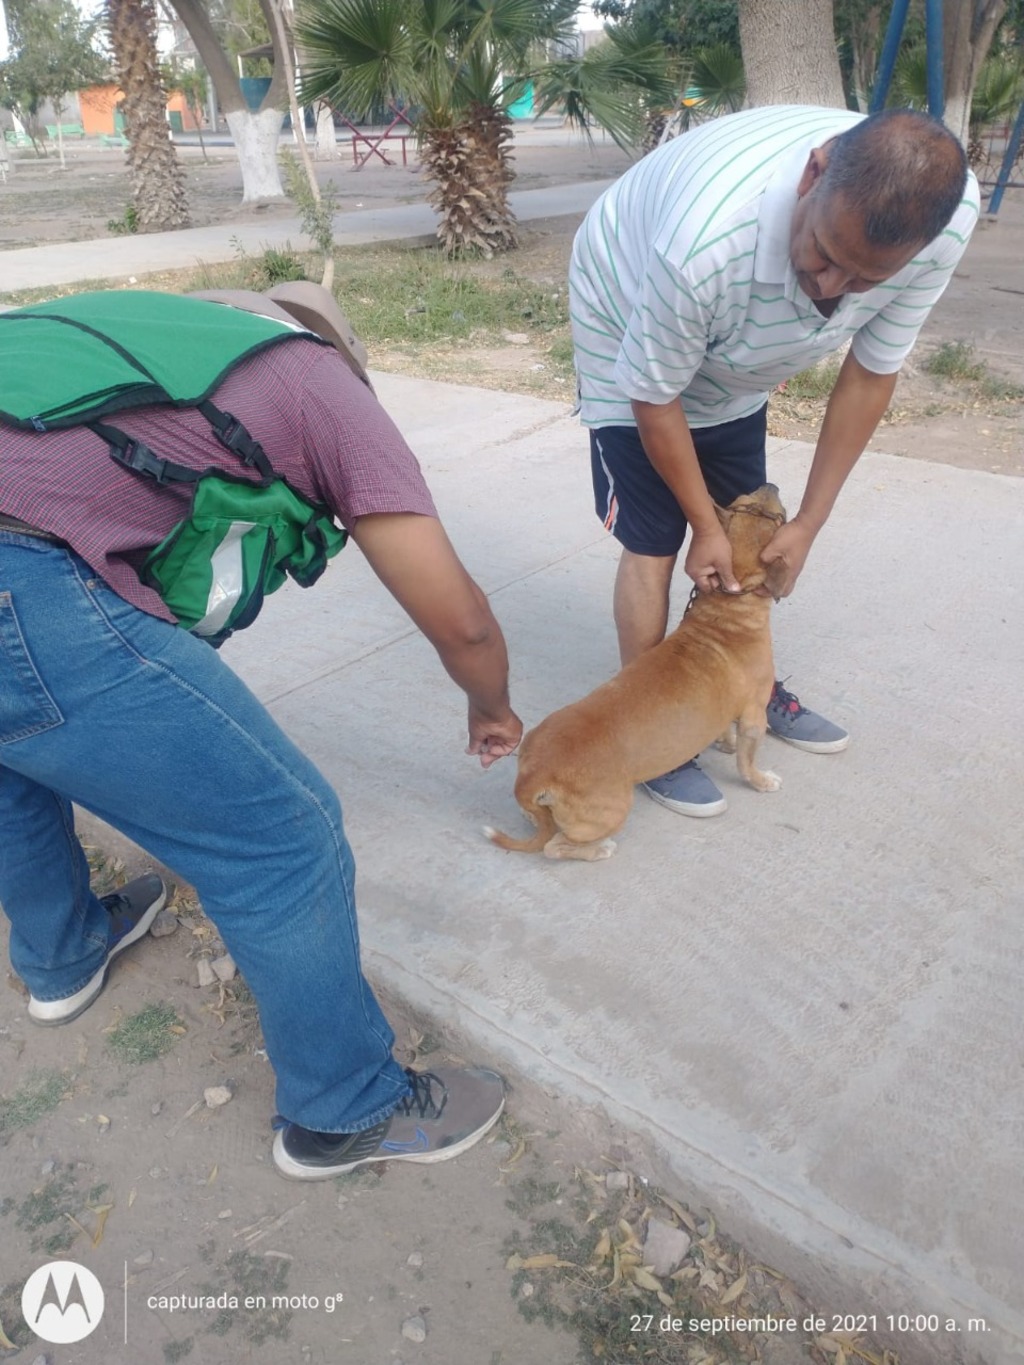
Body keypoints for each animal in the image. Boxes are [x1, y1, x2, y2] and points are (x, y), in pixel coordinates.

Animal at [486, 485, 791, 857]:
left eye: (743, 503)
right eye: (772, 517)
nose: (771, 485)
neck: (726, 613)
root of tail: (534, 775)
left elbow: (724, 731)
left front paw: (725, 743)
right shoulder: (754, 716)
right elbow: (747, 763)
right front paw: (761, 780)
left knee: (538, 824)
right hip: (611, 810)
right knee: (555, 847)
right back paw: (599, 850)